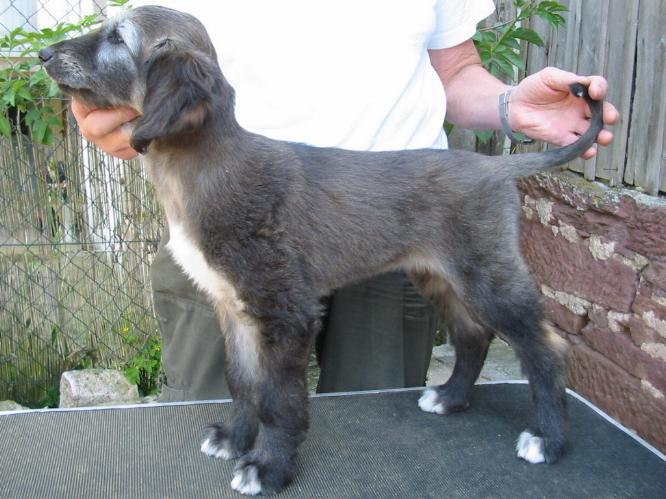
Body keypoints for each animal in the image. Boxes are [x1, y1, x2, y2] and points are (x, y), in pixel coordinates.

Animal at [40, 6, 603, 495]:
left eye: (118, 39)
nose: (44, 54)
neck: (203, 165)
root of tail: (495, 165)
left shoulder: (285, 311)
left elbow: (278, 400)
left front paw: (269, 468)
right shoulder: (233, 307)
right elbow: (242, 382)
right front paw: (236, 440)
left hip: (488, 275)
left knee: (547, 348)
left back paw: (548, 439)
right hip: (439, 275)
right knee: (472, 335)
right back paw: (451, 398)